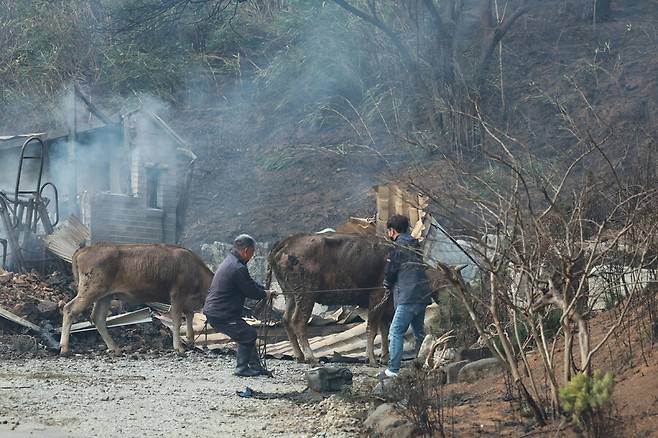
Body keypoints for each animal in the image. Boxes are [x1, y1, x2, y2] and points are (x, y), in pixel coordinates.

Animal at [60, 243, 211, 356]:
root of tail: (85, 249)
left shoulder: (187, 301)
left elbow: (190, 316)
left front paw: (191, 340)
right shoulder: (177, 295)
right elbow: (178, 321)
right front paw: (179, 347)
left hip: (104, 296)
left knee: (98, 318)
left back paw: (115, 348)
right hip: (90, 290)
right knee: (69, 309)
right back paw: (64, 348)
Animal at [268, 233, 394, 366]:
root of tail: (287, 241)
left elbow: (385, 330)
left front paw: (385, 358)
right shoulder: (377, 296)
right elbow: (373, 329)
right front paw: (372, 359)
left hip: (290, 294)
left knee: (286, 320)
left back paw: (300, 356)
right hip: (306, 295)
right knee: (298, 322)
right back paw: (311, 357)